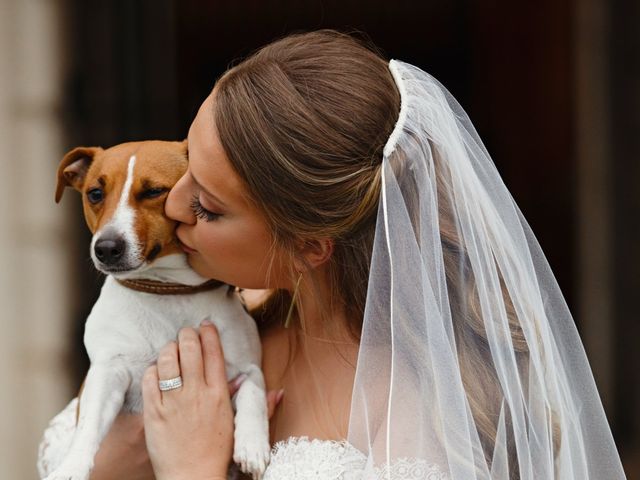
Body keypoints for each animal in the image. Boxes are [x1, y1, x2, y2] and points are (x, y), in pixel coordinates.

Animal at [44, 141, 270, 480]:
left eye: (153, 191)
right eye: (95, 193)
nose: (105, 248)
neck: (167, 289)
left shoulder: (247, 366)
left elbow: (254, 394)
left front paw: (252, 446)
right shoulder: (106, 372)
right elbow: (87, 425)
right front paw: (71, 467)